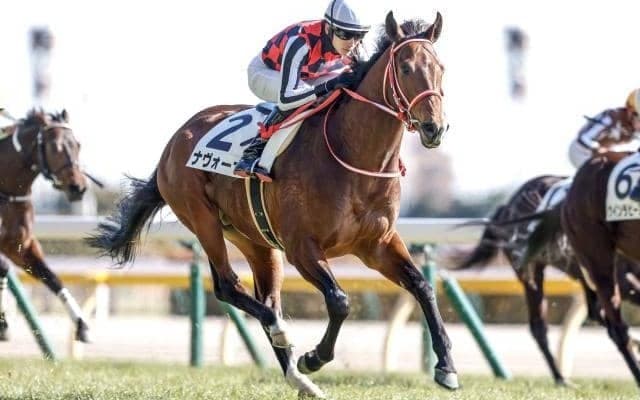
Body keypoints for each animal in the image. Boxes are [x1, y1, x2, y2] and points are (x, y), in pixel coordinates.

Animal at [0, 109, 94, 342]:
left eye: (77, 144)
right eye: (55, 147)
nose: (78, 187)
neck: (7, 191)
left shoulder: (20, 245)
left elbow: (52, 278)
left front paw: (82, 325)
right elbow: (4, 268)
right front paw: (3, 323)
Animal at [87, 12, 458, 398]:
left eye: (441, 67)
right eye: (405, 67)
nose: (434, 128)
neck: (353, 155)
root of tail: (175, 141)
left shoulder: (377, 244)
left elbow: (422, 287)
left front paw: (446, 367)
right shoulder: (302, 247)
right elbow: (339, 301)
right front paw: (314, 357)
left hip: (256, 241)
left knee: (266, 298)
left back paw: (299, 378)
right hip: (203, 220)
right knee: (228, 286)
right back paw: (284, 337)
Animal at [451, 174, 640, 385]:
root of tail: (507, 207)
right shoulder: (621, 279)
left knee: (595, 312)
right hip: (531, 271)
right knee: (539, 327)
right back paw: (561, 378)